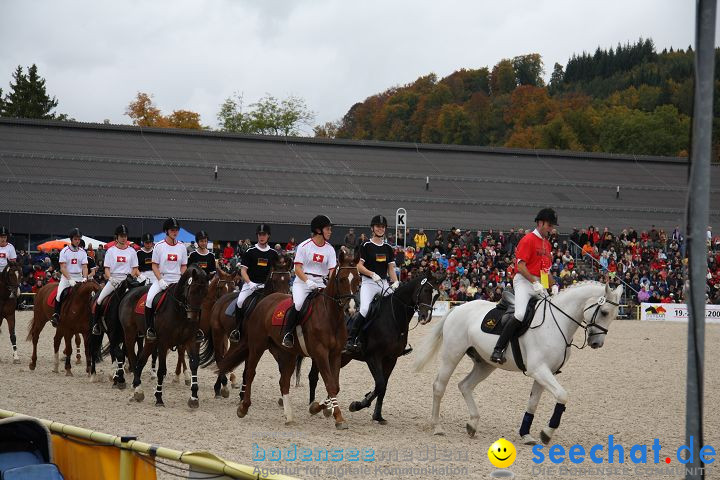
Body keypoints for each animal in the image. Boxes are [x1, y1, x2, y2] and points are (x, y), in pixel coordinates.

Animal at [131, 266, 208, 408]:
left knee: (141, 361)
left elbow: (194, 364)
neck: (180, 311)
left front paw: (194, 397)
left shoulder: (190, 340)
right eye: (192, 291)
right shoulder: (163, 343)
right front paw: (159, 398)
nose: (193, 318)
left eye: (205, 293)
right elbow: (161, 370)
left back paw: (138, 390)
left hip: (150, 342)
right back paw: (137, 389)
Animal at [198, 255, 292, 398]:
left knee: (226, 359)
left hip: (234, 341)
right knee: (220, 358)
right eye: (274, 280)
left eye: (288, 280)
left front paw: (242, 394)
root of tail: (220, 301)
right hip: (218, 333)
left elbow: (247, 370)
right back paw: (219, 387)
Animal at [217, 248, 358, 428]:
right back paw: (243, 407)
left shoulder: (335, 354)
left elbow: (336, 385)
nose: (351, 308)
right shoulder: (320, 354)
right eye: (341, 279)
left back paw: (289, 415)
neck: (330, 316)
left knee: (283, 381)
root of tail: (265, 301)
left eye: (359, 280)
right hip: (257, 345)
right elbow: (330, 384)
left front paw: (317, 408)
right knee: (250, 373)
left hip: (287, 353)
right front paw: (338, 418)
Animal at [414, 280, 620, 444]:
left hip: (485, 364)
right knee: (439, 386)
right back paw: (437, 427)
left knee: (465, 385)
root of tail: (458, 308)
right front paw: (546, 433)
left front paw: (526, 434)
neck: (557, 323)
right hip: (452, 354)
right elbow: (562, 395)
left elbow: (533, 403)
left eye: (614, 315)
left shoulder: (545, 373)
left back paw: (472, 423)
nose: (597, 343)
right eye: (604, 312)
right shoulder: (539, 370)